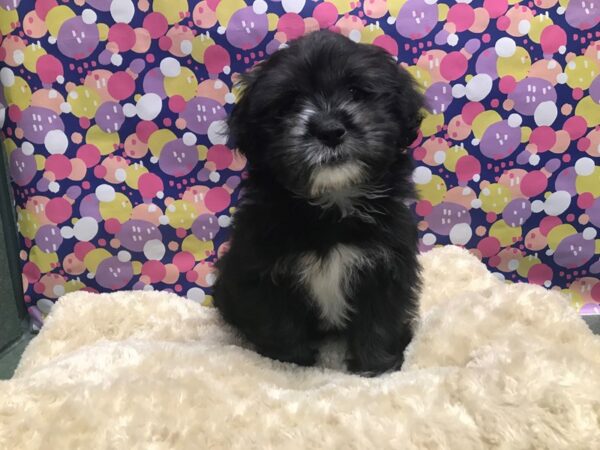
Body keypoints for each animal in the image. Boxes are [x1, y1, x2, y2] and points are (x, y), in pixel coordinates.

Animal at [213, 29, 424, 376]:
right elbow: (280, 324)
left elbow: (379, 322)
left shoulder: (386, 266)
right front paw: (292, 365)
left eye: (356, 91)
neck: (331, 206)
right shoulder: (263, 272)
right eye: (289, 102)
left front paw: (376, 368)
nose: (329, 130)